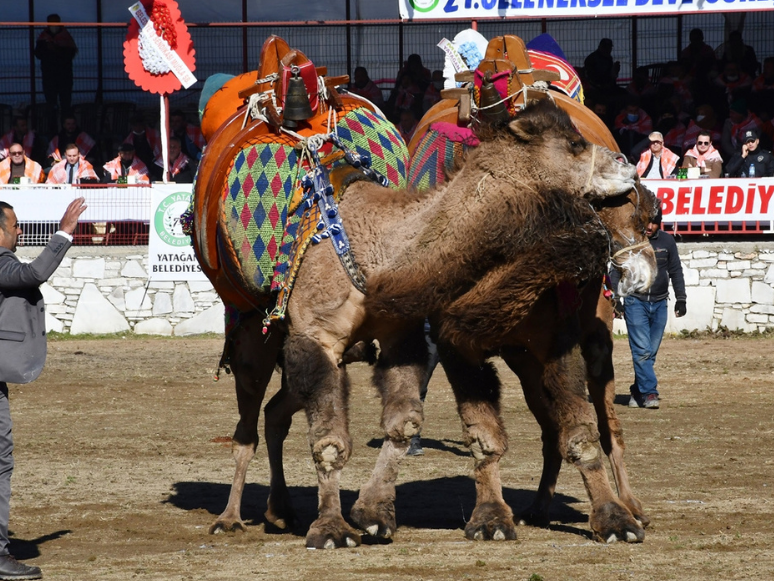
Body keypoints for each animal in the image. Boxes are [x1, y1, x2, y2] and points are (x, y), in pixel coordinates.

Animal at [197, 97, 656, 548]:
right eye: (575, 145)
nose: (628, 163)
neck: (378, 255)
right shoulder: (317, 339)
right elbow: (330, 442)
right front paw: (331, 529)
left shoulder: (405, 336)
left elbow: (406, 423)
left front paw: (373, 515)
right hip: (254, 336)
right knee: (247, 424)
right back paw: (230, 518)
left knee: (276, 411)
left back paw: (280, 512)